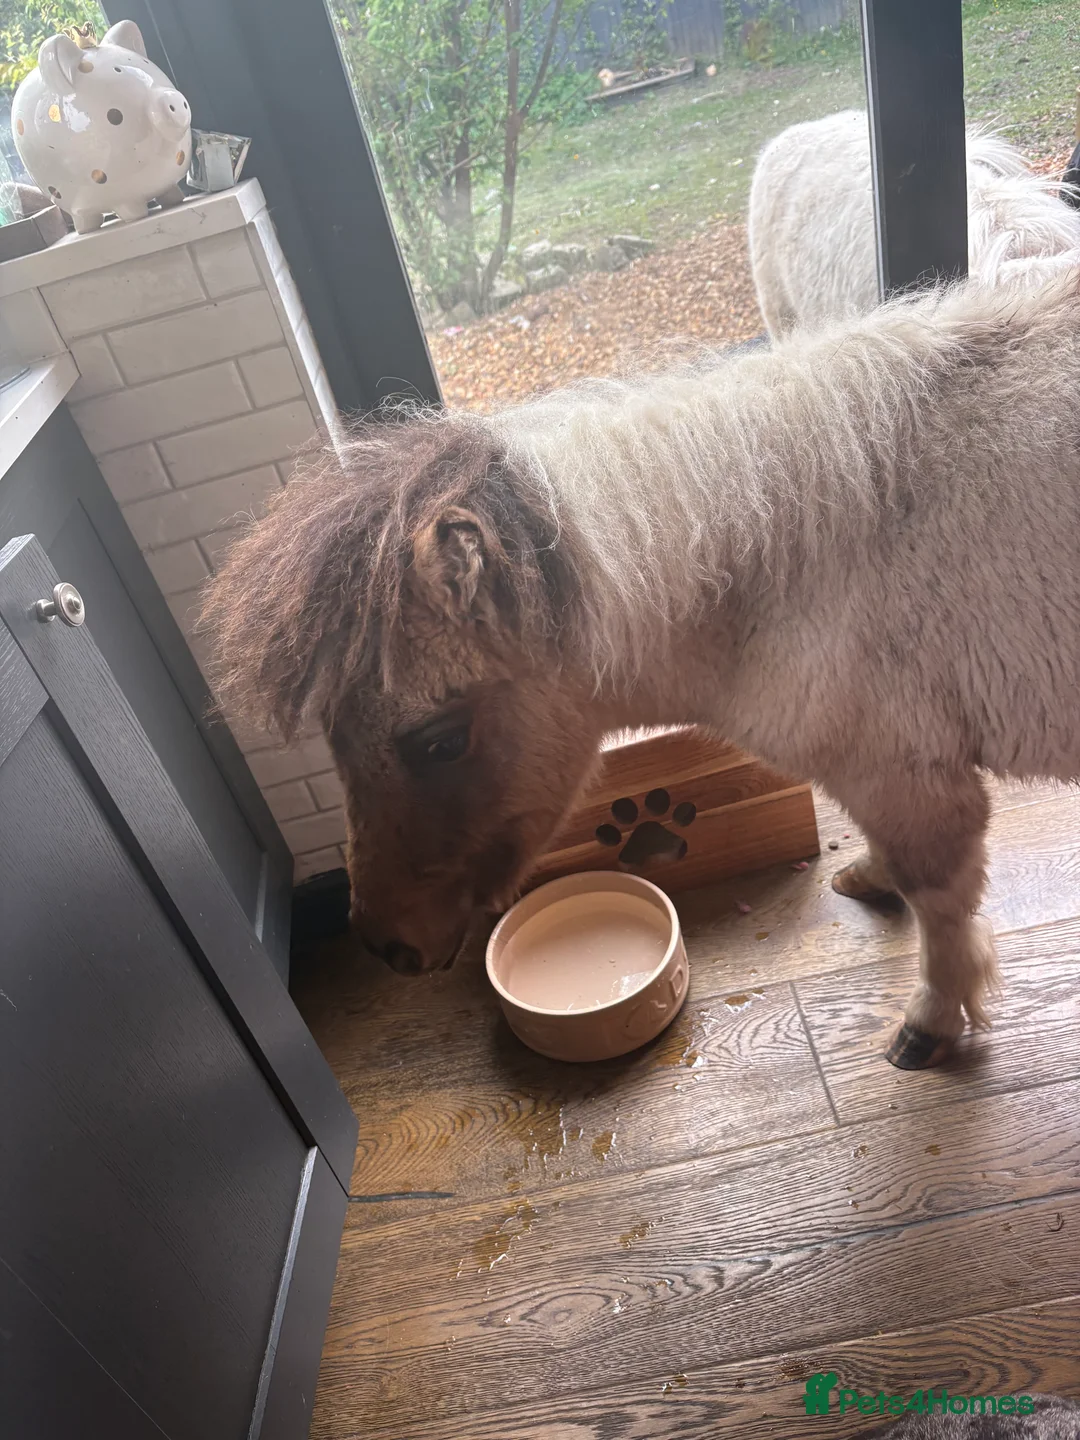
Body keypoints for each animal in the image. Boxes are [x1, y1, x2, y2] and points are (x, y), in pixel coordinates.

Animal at [200, 269, 1080, 1071]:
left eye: (439, 742)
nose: (386, 943)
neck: (807, 560)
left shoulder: (910, 779)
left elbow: (940, 906)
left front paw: (931, 1021)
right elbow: (894, 863)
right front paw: (869, 877)